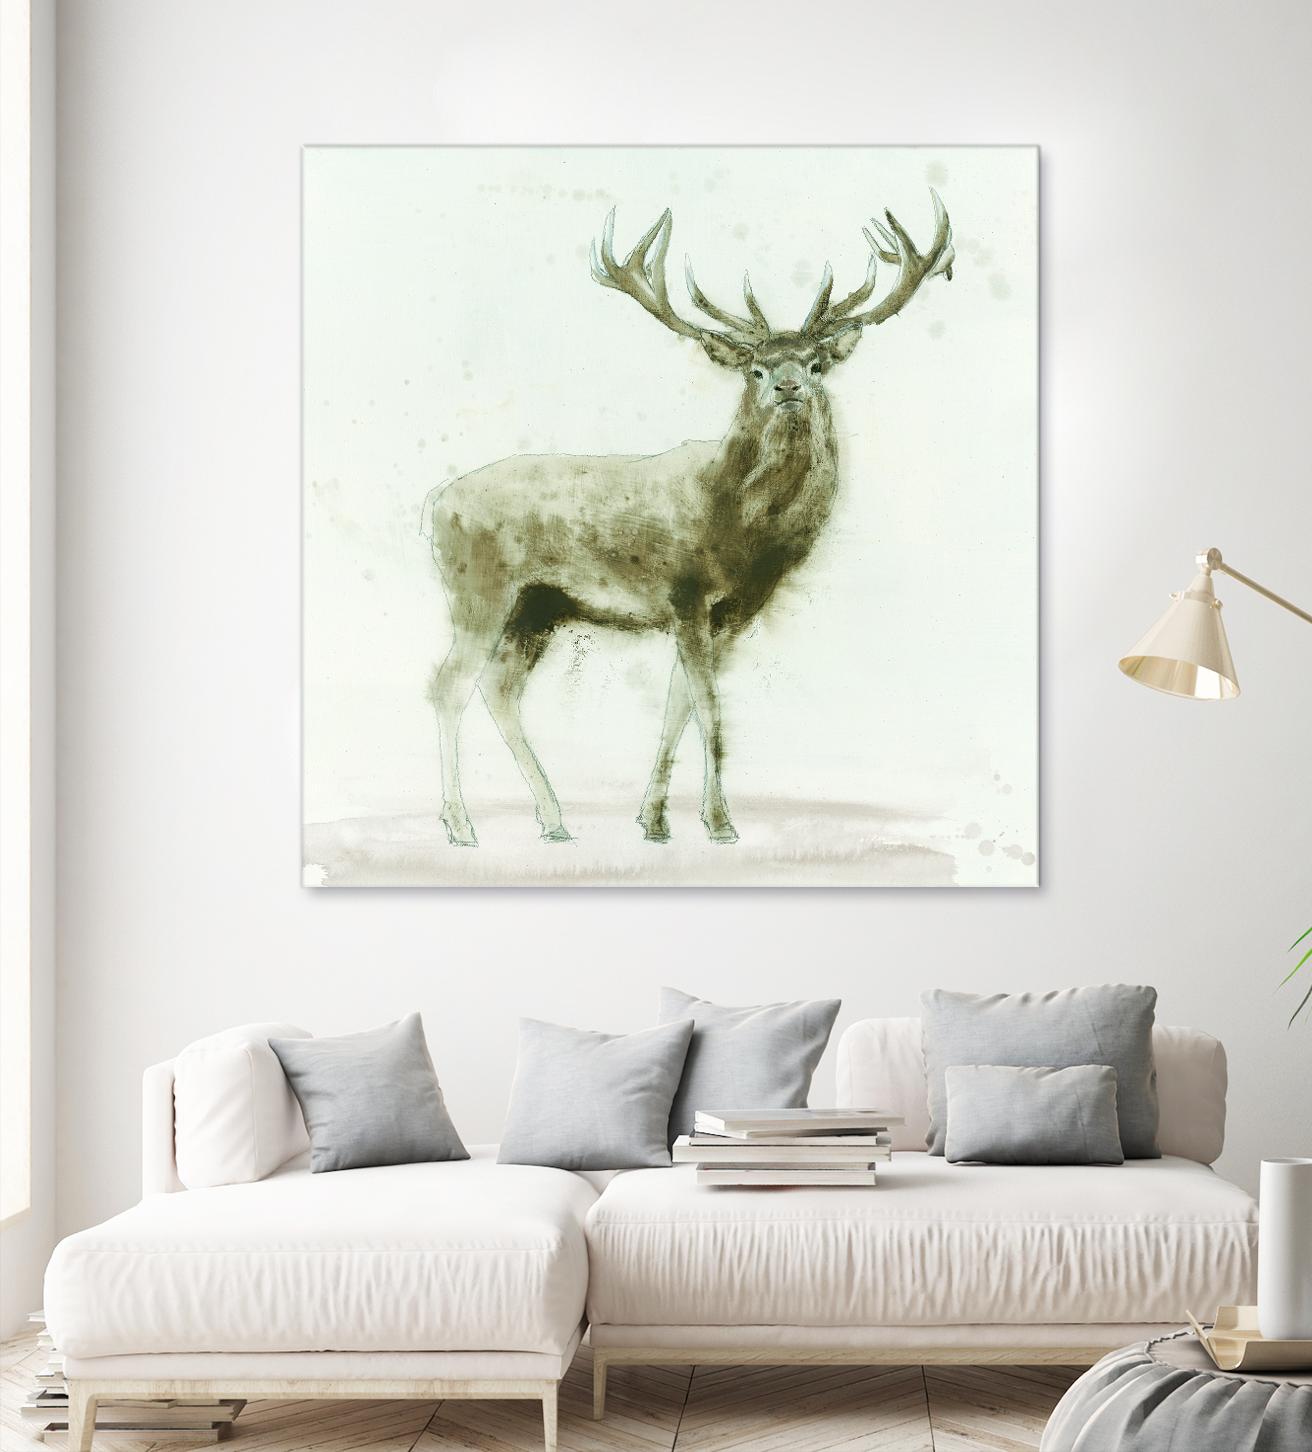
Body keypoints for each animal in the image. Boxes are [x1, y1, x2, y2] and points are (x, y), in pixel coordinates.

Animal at [425, 191, 953, 848]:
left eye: (815, 364)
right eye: (755, 368)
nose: (787, 387)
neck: (738, 528)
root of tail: (434, 506)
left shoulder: (729, 613)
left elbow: (679, 704)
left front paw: (654, 820)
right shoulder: (685, 593)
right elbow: (711, 709)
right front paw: (721, 823)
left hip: (538, 607)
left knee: (498, 689)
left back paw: (553, 819)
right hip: (479, 588)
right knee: (447, 685)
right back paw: (461, 826)